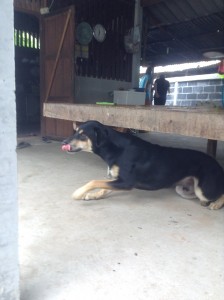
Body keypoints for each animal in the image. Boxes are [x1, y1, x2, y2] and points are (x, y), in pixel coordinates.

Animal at [61, 119, 224, 209]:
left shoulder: (126, 182)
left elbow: (94, 181)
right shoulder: (119, 180)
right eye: (75, 131)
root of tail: (217, 165)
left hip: (203, 190)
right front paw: (94, 196)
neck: (115, 148)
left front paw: (78, 193)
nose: (63, 142)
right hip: (183, 189)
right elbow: (103, 188)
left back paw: (216, 204)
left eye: (82, 134)